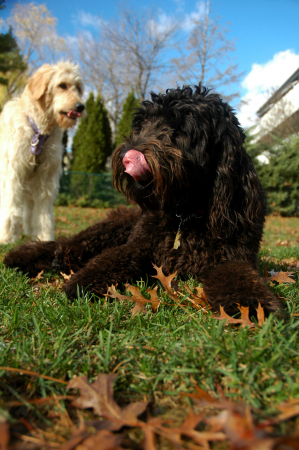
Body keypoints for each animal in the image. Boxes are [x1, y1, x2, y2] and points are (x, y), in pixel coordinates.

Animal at [0, 61, 85, 243]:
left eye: (78, 88)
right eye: (62, 85)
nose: (81, 107)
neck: (38, 130)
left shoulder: (46, 177)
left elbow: (43, 212)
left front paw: (44, 237)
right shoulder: (13, 173)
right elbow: (11, 206)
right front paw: (7, 237)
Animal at [4, 85, 284, 316]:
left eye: (180, 129)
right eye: (141, 125)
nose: (128, 155)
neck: (185, 215)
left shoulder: (232, 257)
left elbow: (240, 279)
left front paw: (255, 305)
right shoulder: (139, 246)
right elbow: (111, 260)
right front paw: (82, 283)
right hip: (106, 231)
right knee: (65, 245)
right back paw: (22, 256)